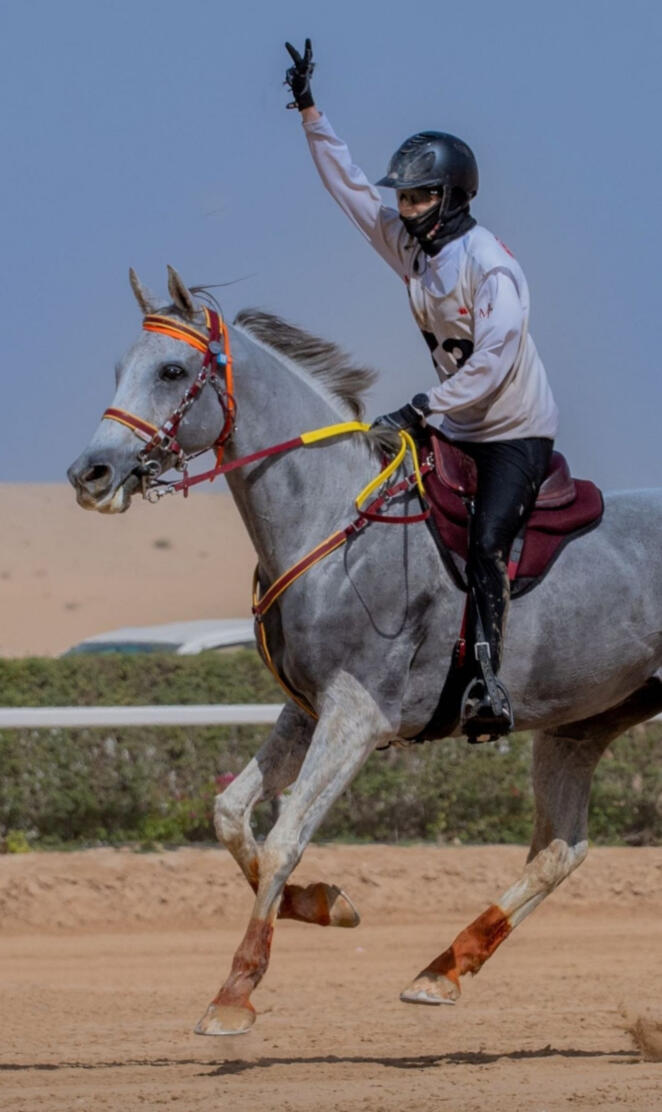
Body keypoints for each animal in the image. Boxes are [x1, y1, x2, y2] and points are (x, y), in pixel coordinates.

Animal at [68, 266, 662, 1036]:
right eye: (121, 369)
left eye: (172, 370)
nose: (90, 474)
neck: (331, 521)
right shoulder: (308, 710)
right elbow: (232, 816)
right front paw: (321, 903)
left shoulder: (357, 717)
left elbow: (286, 835)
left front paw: (236, 990)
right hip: (579, 725)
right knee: (560, 850)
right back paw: (442, 971)